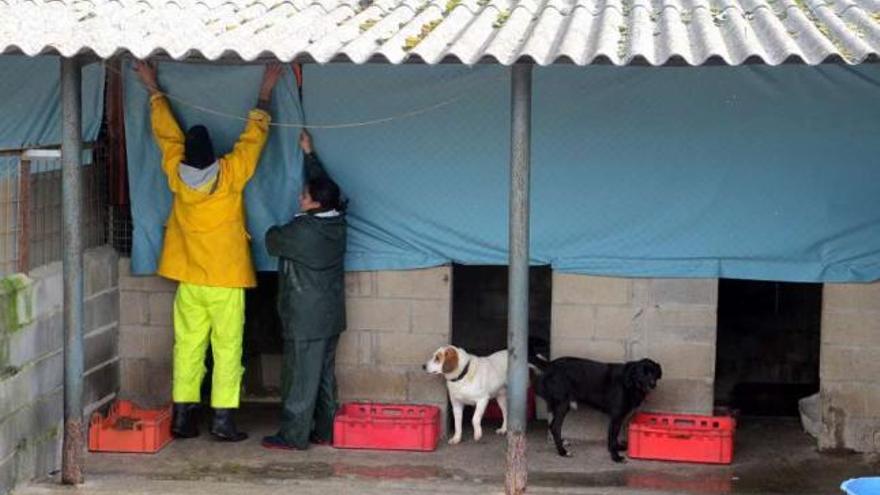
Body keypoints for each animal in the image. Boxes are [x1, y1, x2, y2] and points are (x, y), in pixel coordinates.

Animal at [528, 358, 660, 464]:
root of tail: (550, 364)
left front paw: (616, 448)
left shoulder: (618, 418)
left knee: (552, 425)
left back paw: (562, 442)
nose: (653, 384)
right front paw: (615, 457)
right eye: (643, 373)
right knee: (555, 426)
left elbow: (613, 436)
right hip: (563, 404)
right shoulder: (616, 416)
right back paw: (563, 452)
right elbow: (612, 436)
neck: (629, 382)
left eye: (654, 372)